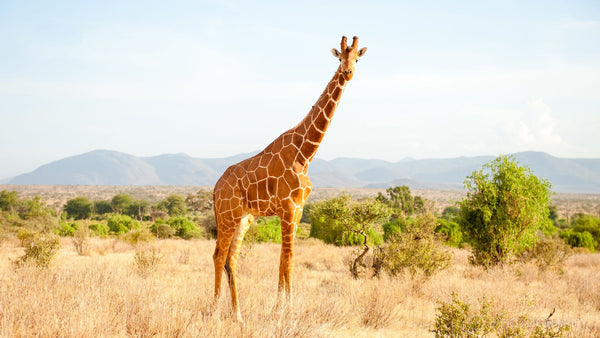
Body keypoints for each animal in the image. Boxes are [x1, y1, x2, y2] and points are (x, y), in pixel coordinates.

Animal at [213, 35, 368, 320]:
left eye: (357, 58)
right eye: (340, 57)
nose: (348, 72)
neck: (305, 154)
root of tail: (215, 189)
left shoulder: (297, 210)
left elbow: (283, 260)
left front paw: (281, 307)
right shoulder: (287, 208)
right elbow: (289, 260)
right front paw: (287, 309)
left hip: (243, 218)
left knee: (231, 259)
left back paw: (238, 313)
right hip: (228, 215)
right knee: (219, 256)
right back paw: (215, 310)